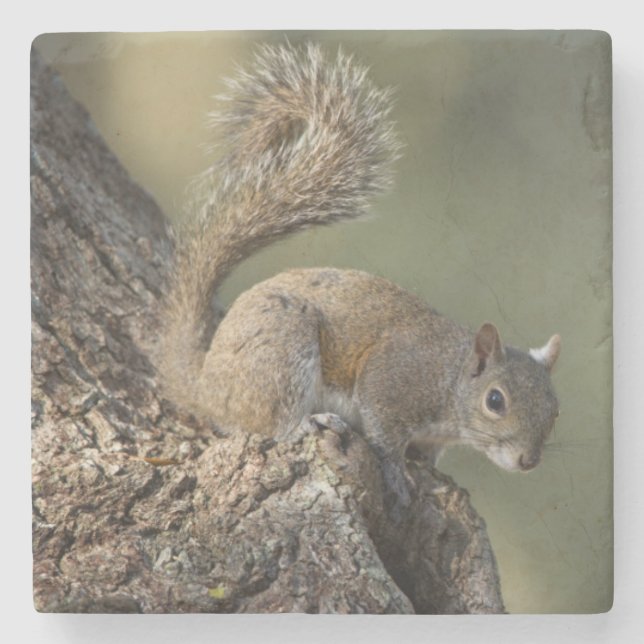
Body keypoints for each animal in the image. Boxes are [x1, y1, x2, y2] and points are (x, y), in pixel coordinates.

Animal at [158, 43, 561, 518]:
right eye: (495, 400)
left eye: (555, 408)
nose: (528, 461)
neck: (450, 378)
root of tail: (206, 384)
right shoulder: (392, 381)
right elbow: (385, 436)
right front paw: (398, 476)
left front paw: (435, 473)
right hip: (282, 350)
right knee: (270, 420)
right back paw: (307, 422)